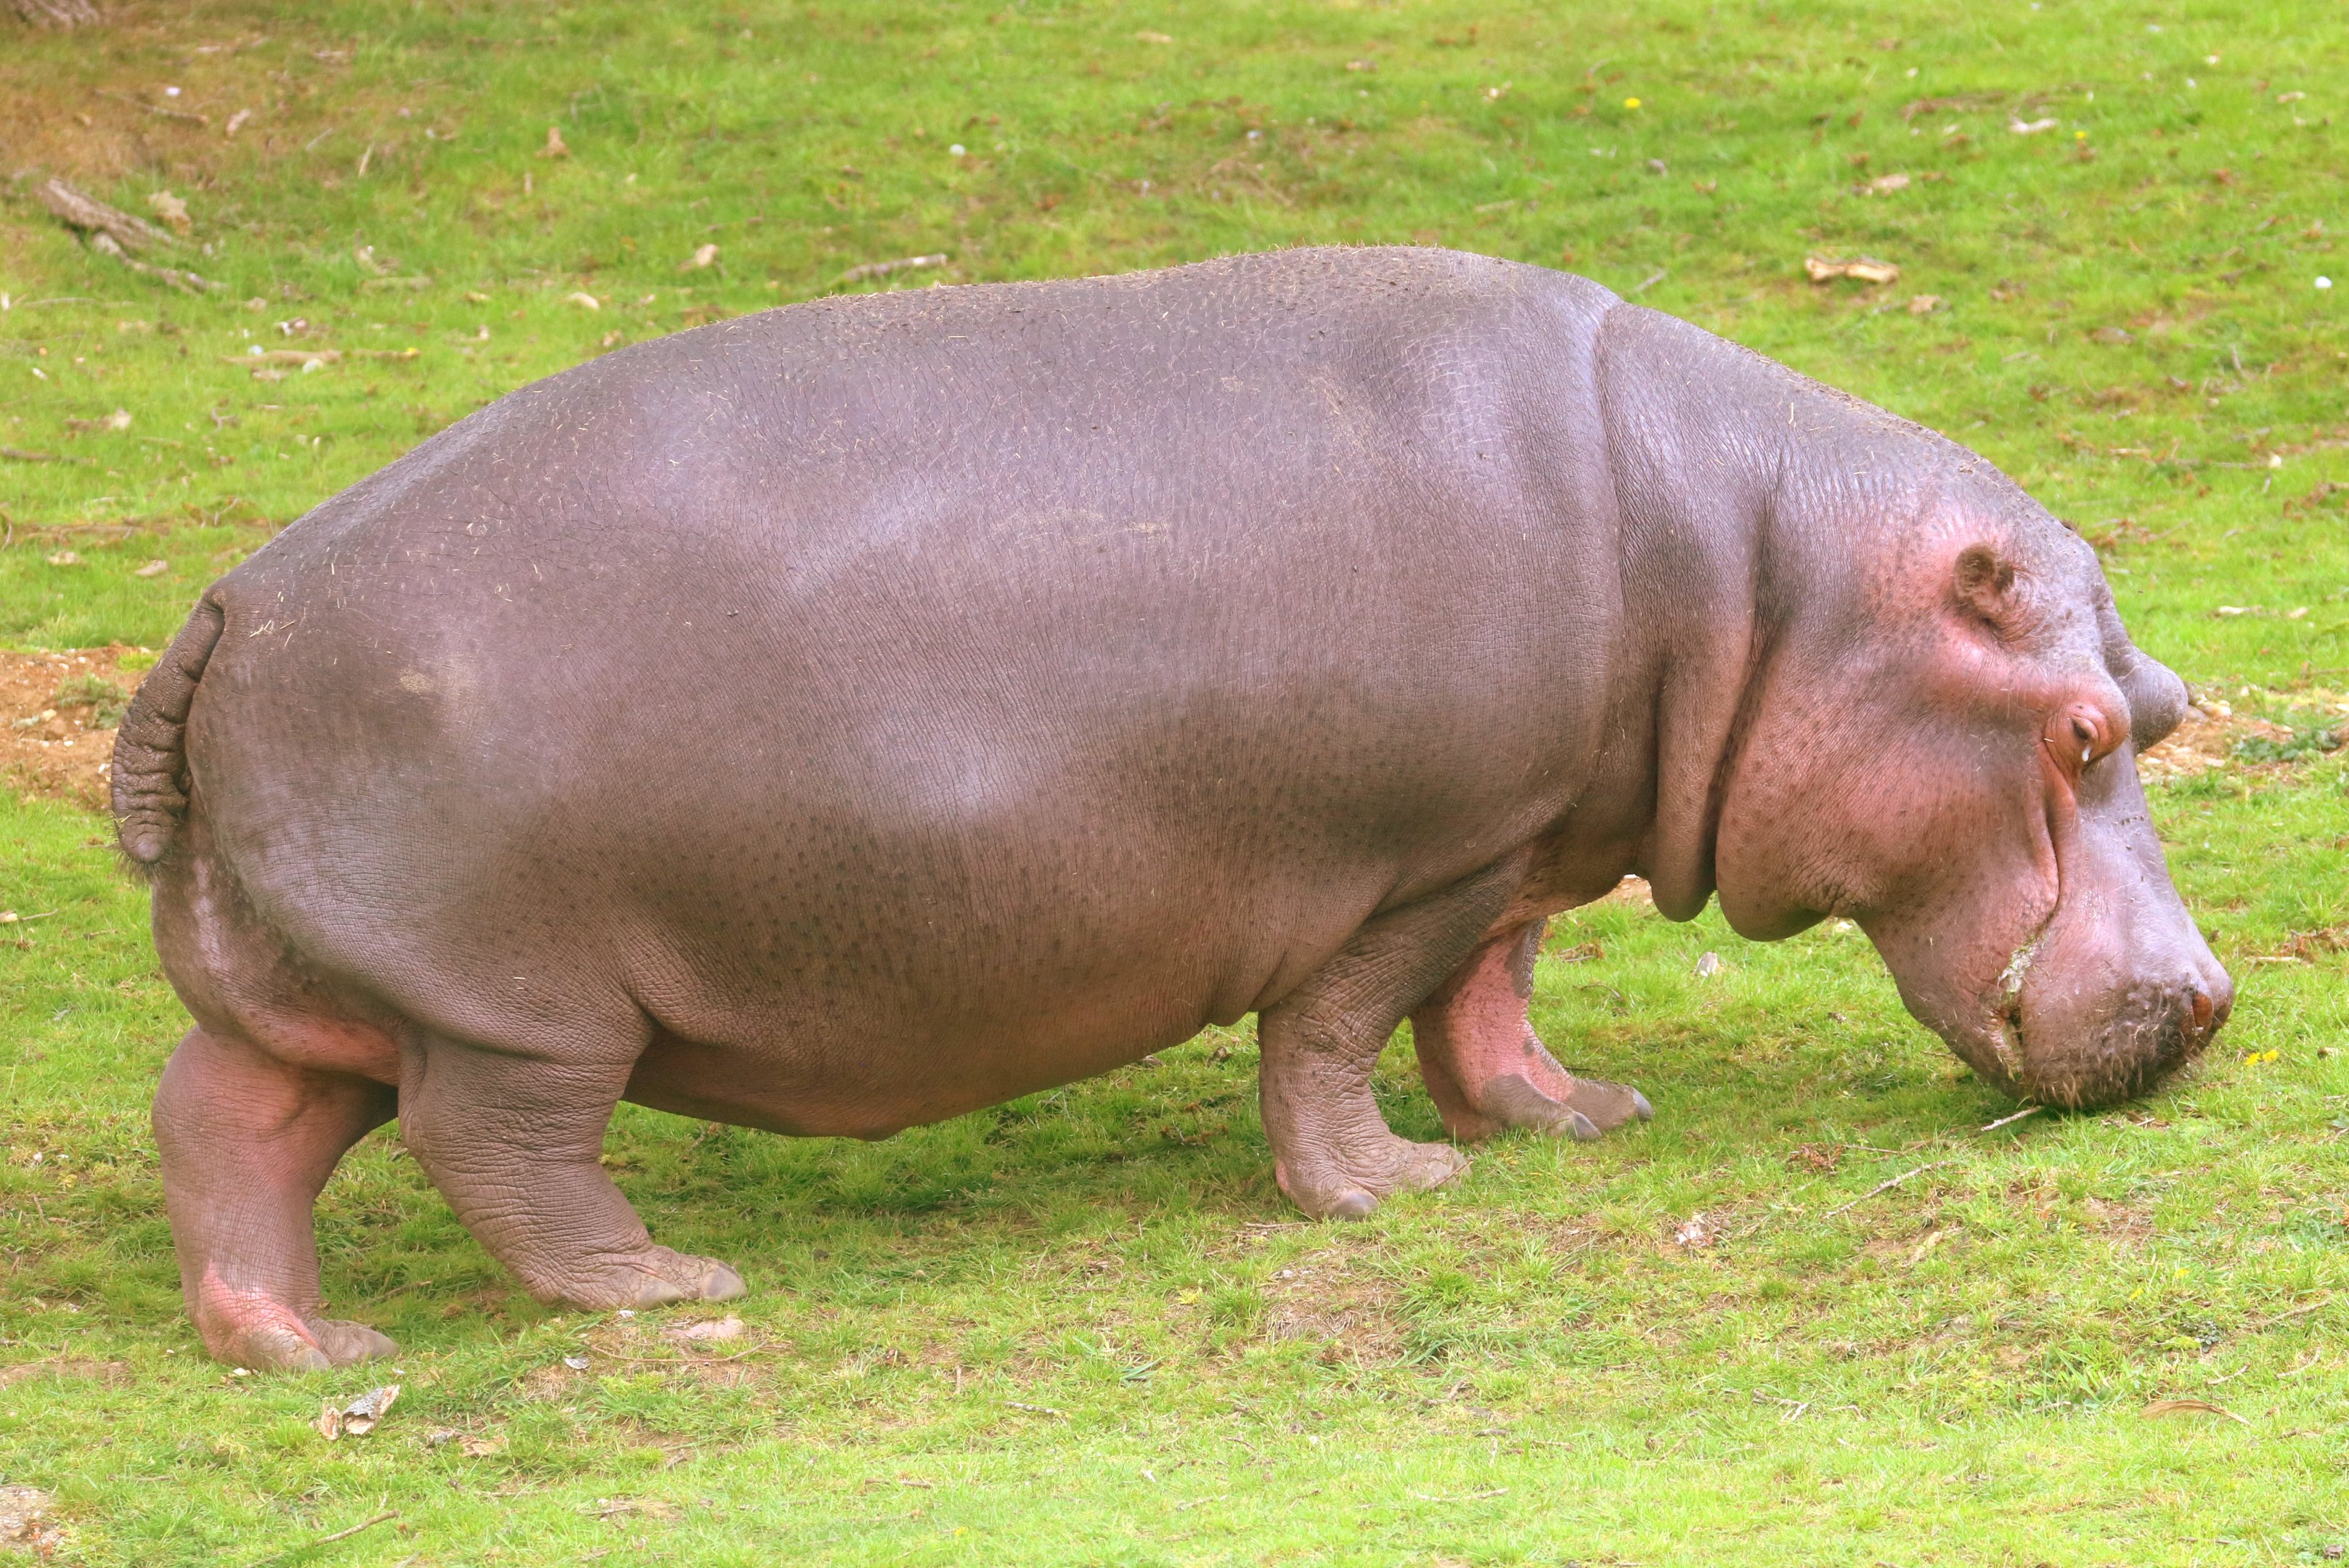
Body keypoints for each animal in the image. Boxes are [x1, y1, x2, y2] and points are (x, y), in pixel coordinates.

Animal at [112, 247, 2231, 1371]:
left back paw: (308, 1349)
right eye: (2071, 733)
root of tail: (232, 597)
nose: (2208, 1000)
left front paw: (1574, 1121)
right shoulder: (1421, 853)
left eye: (2161, 706)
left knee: (232, 1124)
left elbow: (1494, 996)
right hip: (518, 995)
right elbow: (1347, 1023)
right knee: (501, 1146)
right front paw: (1396, 1191)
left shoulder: (1529, 829)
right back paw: (665, 1289)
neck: (1766, 574)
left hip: (347, 986)